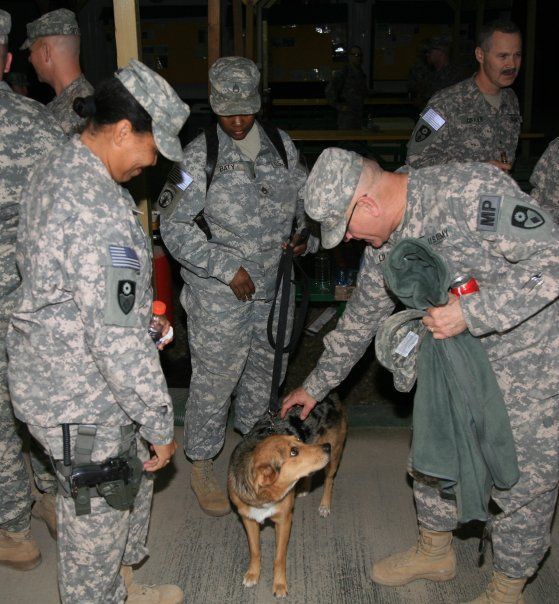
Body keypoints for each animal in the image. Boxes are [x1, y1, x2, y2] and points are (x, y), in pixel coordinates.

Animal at [228, 394, 347, 598]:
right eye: (294, 451)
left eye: (298, 440)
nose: (326, 447)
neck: (265, 497)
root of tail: (331, 396)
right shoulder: (248, 519)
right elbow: (255, 550)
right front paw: (253, 574)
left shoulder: (284, 520)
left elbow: (279, 557)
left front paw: (279, 585)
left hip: (335, 457)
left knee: (329, 480)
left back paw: (324, 505)